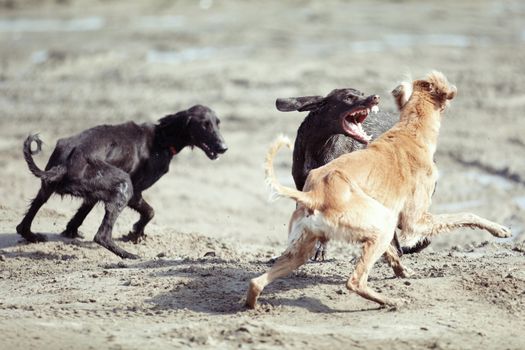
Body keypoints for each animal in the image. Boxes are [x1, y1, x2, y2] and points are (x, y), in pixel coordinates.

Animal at [17, 105, 226, 258]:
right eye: (204, 125)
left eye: (217, 123)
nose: (224, 147)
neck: (162, 139)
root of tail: (67, 162)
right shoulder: (135, 192)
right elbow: (150, 212)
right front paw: (136, 233)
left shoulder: (93, 195)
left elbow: (80, 214)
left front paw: (71, 231)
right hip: (123, 186)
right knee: (101, 236)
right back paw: (127, 255)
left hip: (47, 188)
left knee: (24, 222)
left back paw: (31, 236)